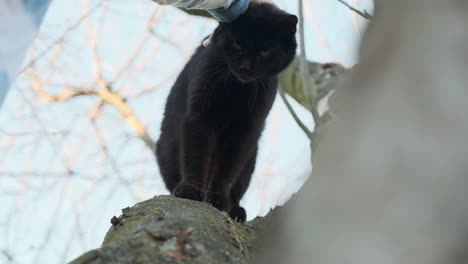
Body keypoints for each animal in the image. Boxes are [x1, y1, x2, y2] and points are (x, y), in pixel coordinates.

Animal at [156, 2, 296, 223]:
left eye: (265, 50)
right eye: (238, 43)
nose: (245, 67)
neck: (236, 88)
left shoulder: (245, 130)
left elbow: (227, 168)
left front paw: (218, 199)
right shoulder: (200, 117)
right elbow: (195, 155)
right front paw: (191, 190)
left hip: (251, 159)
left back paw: (237, 210)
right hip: (167, 146)